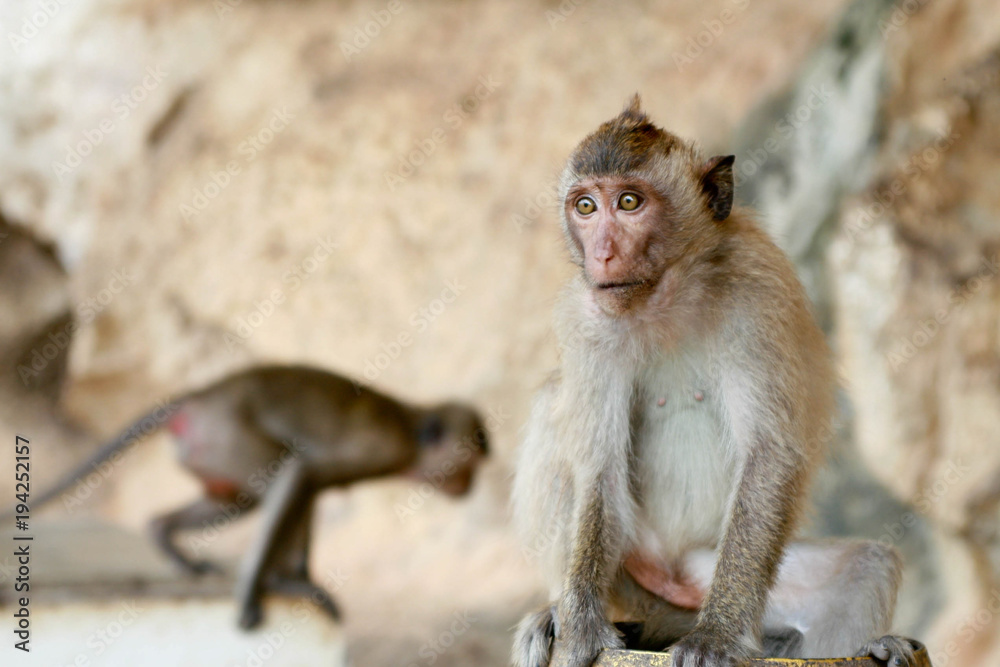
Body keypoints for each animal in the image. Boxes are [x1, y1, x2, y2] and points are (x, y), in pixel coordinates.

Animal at [19, 365, 489, 630]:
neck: (412, 425)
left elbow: (309, 490)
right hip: (227, 436)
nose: (471, 486)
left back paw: (165, 536)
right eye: (469, 465)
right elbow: (302, 475)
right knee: (275, 474)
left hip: (210, 448)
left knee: (241, 498)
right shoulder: (384, 449)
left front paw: (297, 575)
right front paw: (273, 584)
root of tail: (205, 393)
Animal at [511, 96, 918, 667]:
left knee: (864, 566)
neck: (668, 295)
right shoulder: (586, 319)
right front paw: (580, 628)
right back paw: (556, 610)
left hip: (705, 571)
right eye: (586, 207)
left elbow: (768, 455)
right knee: (555, 402)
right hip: (635, 571)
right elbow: (600, 469)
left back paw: (872, 644)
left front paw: (718, 635)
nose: (603, 254)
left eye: (630, 202)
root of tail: (672, 580)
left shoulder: (756, 295)